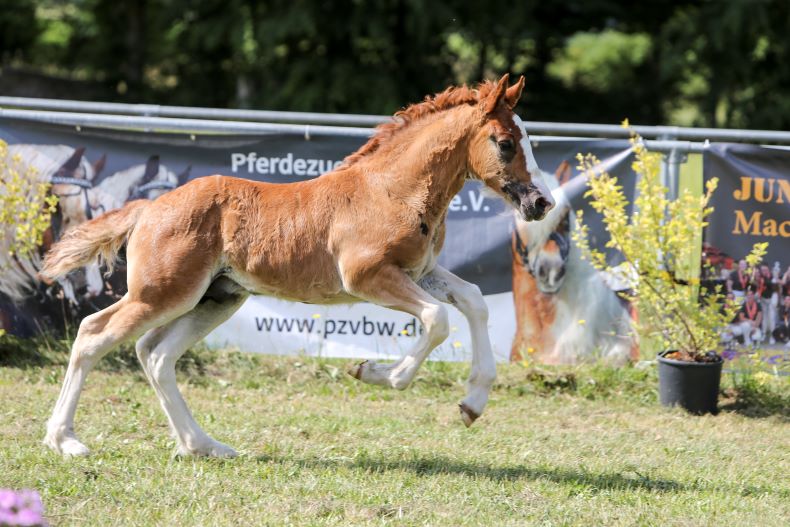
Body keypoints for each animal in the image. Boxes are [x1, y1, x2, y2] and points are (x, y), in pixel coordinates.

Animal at [41, 74, 552, 458]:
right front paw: (376, 373)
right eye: (506, 143)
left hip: (215, 298)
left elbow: (472, 301)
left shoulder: (420, 272)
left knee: (156, 354)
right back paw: (65, 441)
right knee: (93, 334)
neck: (393, 190)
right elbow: (438, 318)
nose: (541, 203)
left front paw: (473, 402)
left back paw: (202, 445)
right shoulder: (367, 276)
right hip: (162, 293)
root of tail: (148, 207)